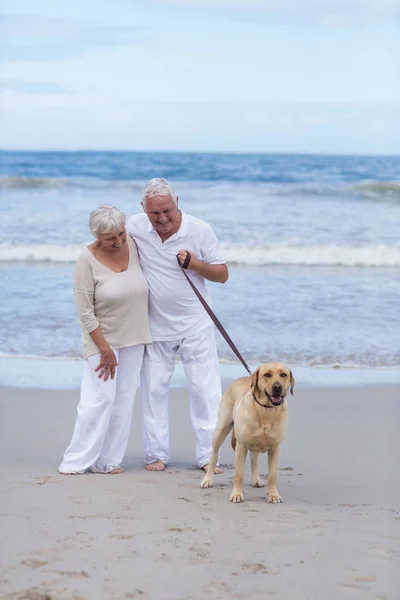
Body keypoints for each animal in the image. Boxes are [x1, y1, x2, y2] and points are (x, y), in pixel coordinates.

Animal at [200, 364, 294, 504]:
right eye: (267, 375)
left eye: (283, 375)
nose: (277, 387)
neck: (266, 410)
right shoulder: (241, 446)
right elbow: (239, 474)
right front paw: (237, 494)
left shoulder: (275, 448)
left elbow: (272, 476)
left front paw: (273, 495)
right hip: (220, 430)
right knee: (214, 456)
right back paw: (208, 479)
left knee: (254, 457)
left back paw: (256, 479)